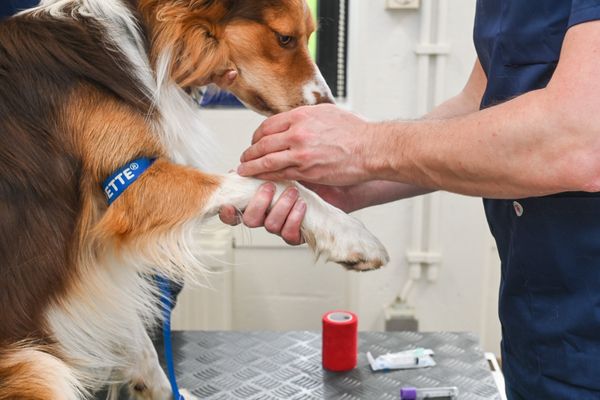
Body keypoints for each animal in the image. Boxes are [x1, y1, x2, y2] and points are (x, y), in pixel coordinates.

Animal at [0, 0, 390, 396]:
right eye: (284, 38)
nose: (327, 106)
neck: (144, 41)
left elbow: (137, 339)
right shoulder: (135, 188)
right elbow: (274, 185)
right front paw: (352, 237)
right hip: (39, 368)